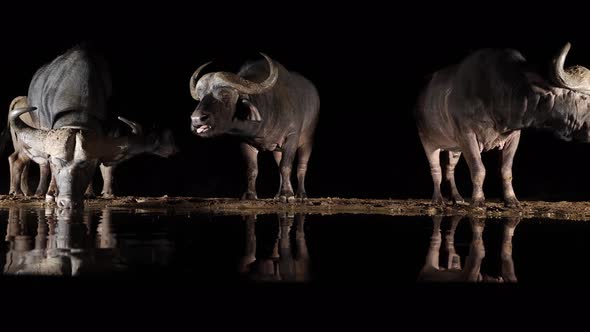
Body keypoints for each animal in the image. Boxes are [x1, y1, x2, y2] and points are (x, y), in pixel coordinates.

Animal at [190, 53, 320, 202]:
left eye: (225, 95)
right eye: (200, 97)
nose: (196, 119)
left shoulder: (292, 136)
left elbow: (286, 166)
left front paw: (287, 194)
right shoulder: (245, 142)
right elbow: (252, 169)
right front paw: (250, 194)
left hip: (307, 140)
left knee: (301, 167)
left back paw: (301, 195)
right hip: (277, 150)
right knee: (279, 166)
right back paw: (277, 194)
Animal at [416, 42, 590, 206]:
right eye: (586, 98)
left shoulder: (513, 137)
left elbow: (506, 171)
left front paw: (511, 200)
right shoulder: (467, 135)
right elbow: (478, 169)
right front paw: (478, 200)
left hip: (454, 149)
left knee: (449, 169)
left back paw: (457, 198)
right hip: (428, 142)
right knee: (436, 170)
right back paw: (437, 199)